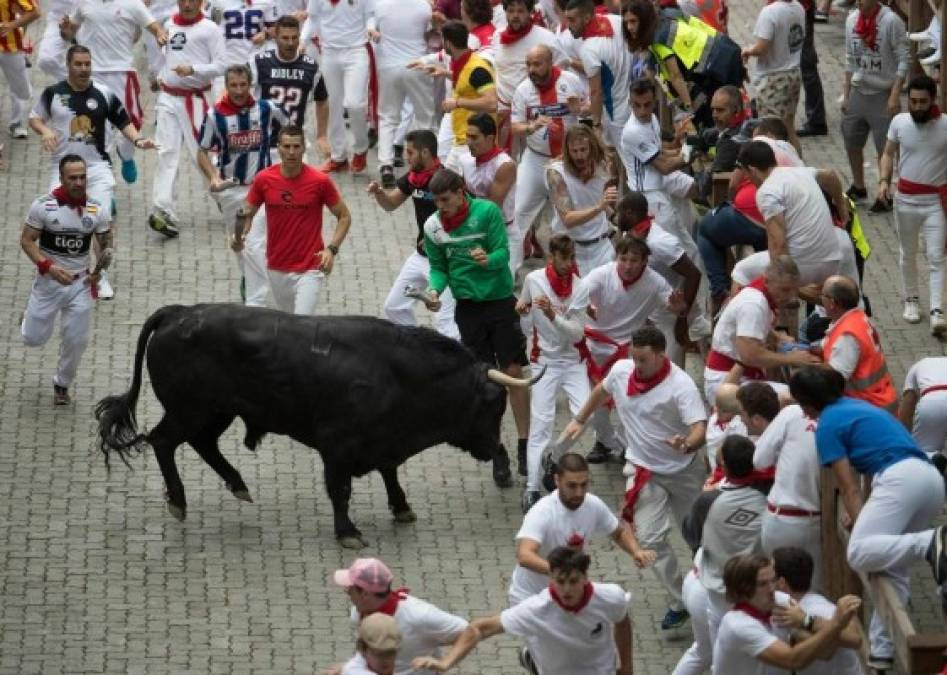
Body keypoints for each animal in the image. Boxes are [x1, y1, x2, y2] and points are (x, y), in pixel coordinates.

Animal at [97, 304, 544, 548]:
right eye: (493, 404)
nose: (494, 449)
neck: (396, 372)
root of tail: (179, 312)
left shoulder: (383, 441)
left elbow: (390, 472)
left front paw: (402, 508)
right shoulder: (338, 446)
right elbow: (340, 489)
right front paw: (347, 531)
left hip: (216, 413)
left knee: (202, 445)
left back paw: (238, 485)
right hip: (191, 410)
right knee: (162, 440)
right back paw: (178, 500)